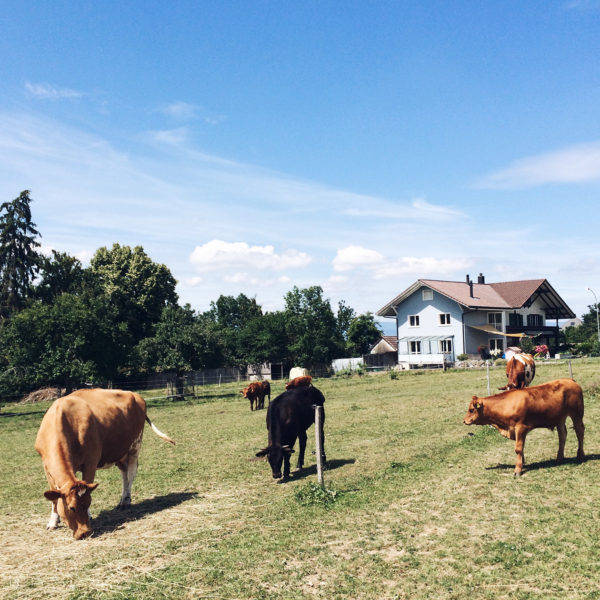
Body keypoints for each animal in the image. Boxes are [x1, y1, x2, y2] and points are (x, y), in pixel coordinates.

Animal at [34, 390, 175, 540]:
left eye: (88, 503)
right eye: (71, 508)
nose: (85, 533)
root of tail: (136, 395)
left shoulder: (90, 462)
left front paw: (89, 516)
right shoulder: (46, 467)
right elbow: (54, 498)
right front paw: (53, 522)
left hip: (135, 446)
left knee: (131, 473)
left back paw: (126, 501)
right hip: (120, 453)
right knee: (124, 474)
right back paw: (122, 500)